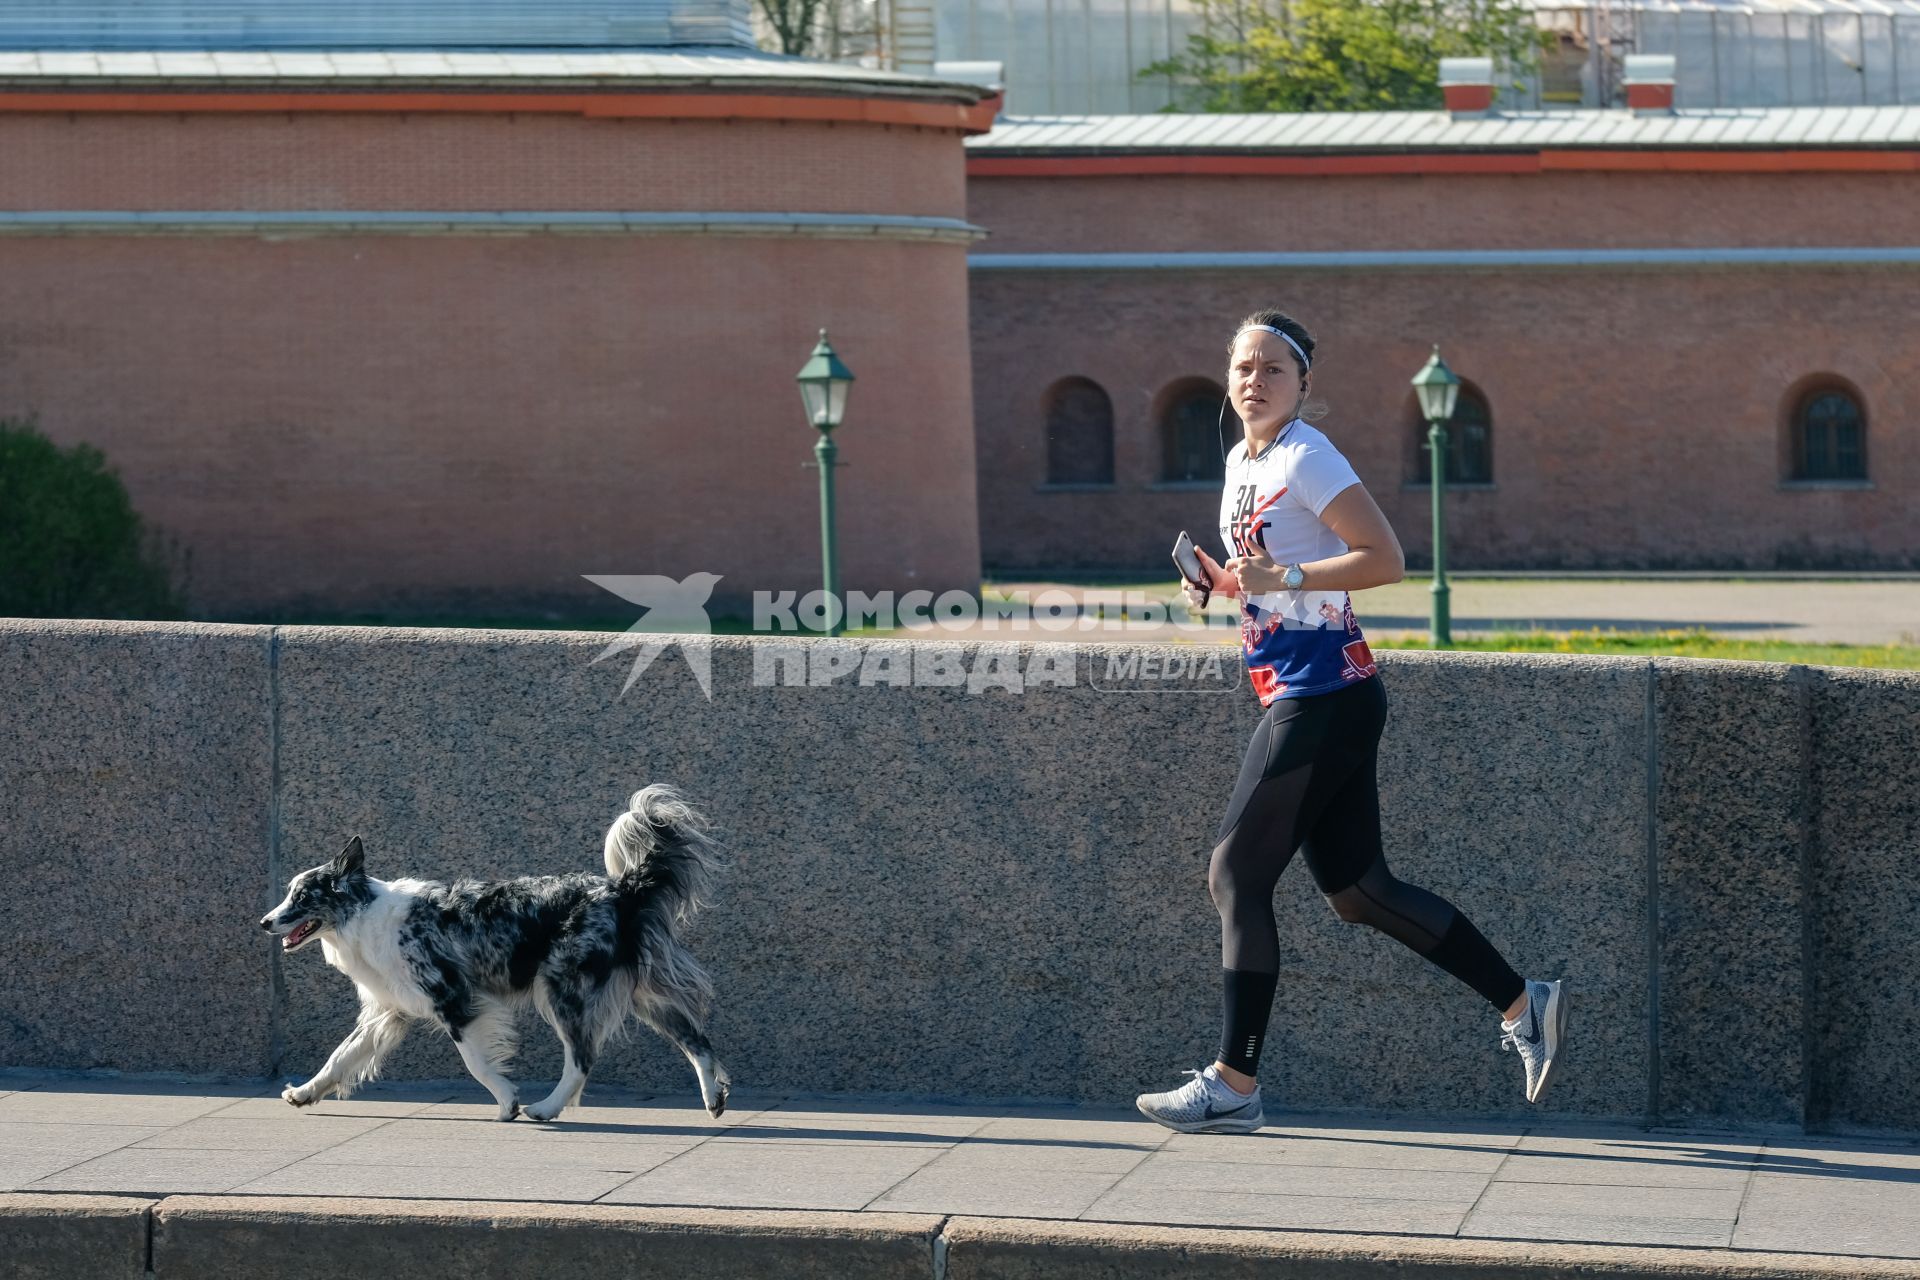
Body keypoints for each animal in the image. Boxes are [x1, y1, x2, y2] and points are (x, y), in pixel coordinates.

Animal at [263, 782, 725, 1120]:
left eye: (302, 897)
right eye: (289, 893)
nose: (265, 922)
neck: (362, 914)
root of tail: (621, 890)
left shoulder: (453, 998)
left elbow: (475, 1061)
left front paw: (507, 1102)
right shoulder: (390, 1010)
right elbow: (341, 1056)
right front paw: (303, 1093)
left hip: (561, 989)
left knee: (582, 1058)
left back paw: (545, 1109)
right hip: (640, 996)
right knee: (695, 1038)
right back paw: (715, 1098)